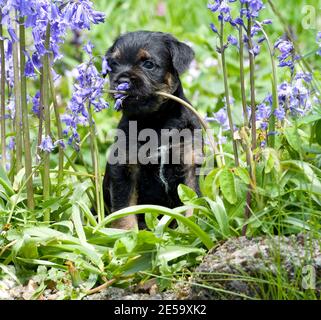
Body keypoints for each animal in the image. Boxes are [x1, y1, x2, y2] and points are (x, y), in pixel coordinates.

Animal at [102, 31, 202, 229]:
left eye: (148, 64)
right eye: (114, 64)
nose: (122, 81)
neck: (155, 121)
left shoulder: (188, 164)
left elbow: (191, 204)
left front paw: (192, 229)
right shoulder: (124, 169)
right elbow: (124, 210)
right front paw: (126, 234)